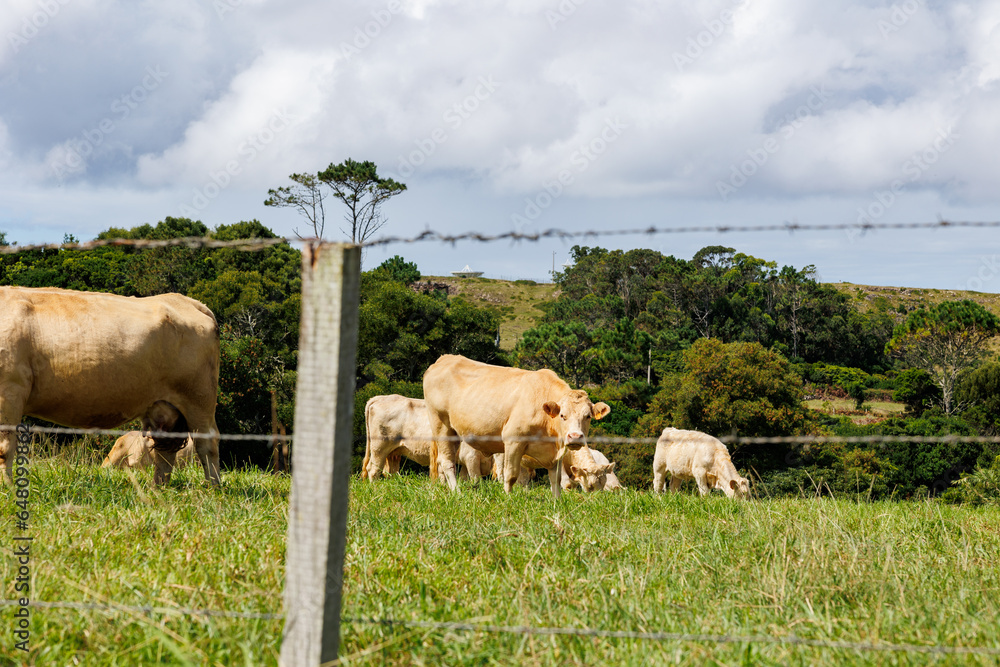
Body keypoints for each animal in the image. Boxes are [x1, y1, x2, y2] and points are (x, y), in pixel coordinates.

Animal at [0, 286, 221, 486]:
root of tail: (187, 301)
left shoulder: (10, 388)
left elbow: (4, 446)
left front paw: (7, 489)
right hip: (165, 406)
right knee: (165, 449)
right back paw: (158, 489)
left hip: (199, 397)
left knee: (207, 443)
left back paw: (213, 488)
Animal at [361, 394, 489, 482]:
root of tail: (380, 397)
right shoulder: (471, 456)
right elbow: (476, 480)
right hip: (379, 448)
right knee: (373, 470)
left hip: (393, 452)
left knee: (389, 472)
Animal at [423, 354, 611, 498]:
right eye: (562, 415)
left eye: (587, 416)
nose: (575, 437)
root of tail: (444, 359)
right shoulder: (513, 440)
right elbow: (511, 475)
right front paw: (507, 498)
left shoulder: (554, 453)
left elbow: (555, 479)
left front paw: (557, 501)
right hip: (441, 425)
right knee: (447, 461)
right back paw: (457, 492)